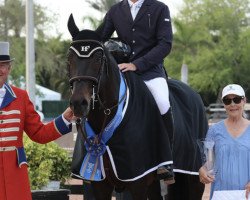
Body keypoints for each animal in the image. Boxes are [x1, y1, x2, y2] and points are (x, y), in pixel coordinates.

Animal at [67, 14, 208, 200]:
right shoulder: (100, 184)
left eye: (98, 58)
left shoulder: (137, 182)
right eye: (69, 58)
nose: (78, 103)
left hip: (194, 178)